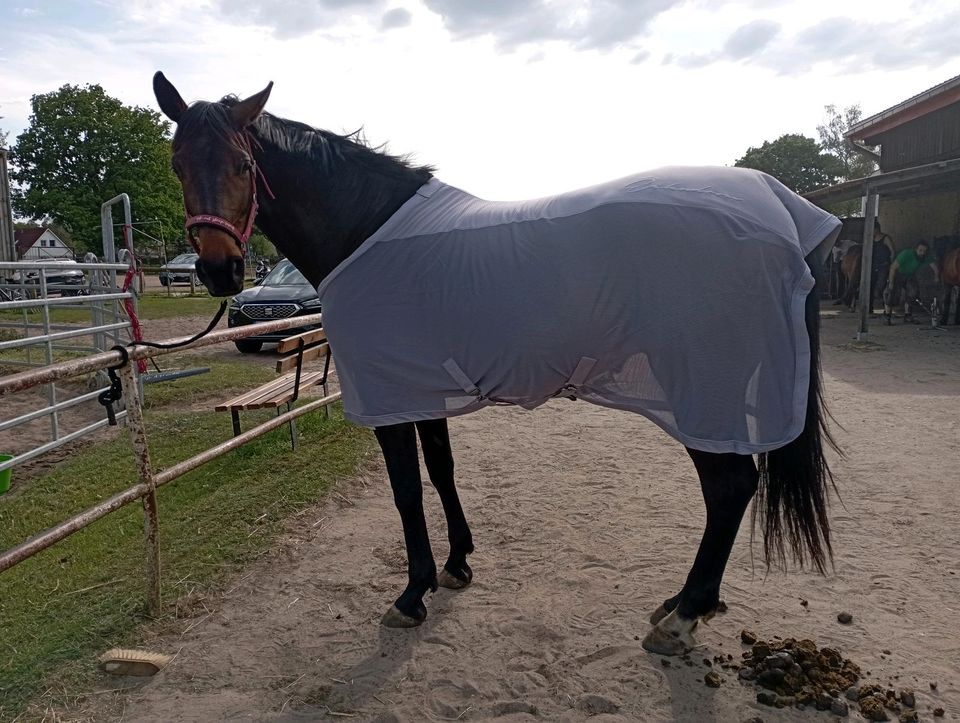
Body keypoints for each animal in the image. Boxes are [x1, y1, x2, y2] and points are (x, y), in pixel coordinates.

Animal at [152, 73, 840, 656]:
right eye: (177, 163)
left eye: (244, 164)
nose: (219, 270)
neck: (365, 229)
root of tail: (780, 210)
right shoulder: (421, 387)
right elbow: (442, 471)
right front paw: (457, 564)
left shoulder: (388, 393)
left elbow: (406, 491)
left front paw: (412, 593)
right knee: (732, 491)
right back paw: (684, 603)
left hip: (701, 389)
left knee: (729, 488)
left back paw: (682, 617)